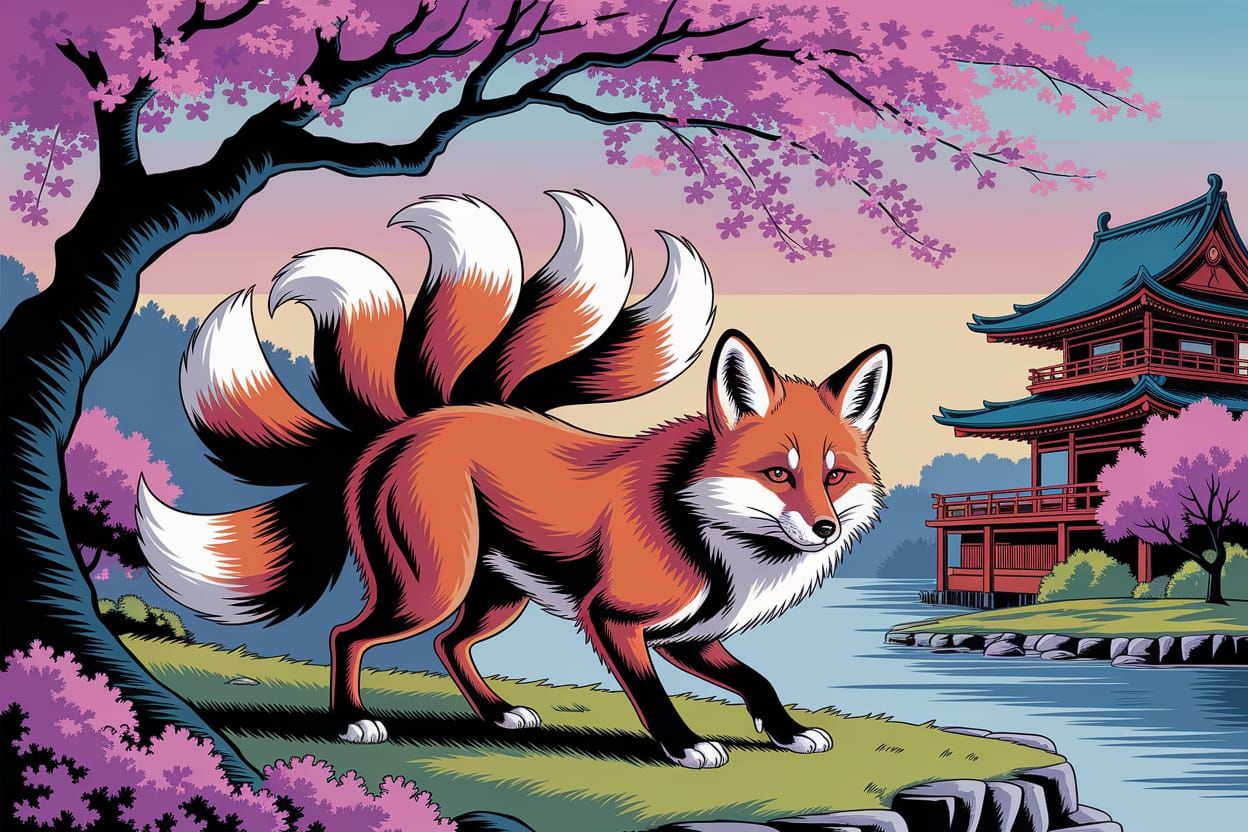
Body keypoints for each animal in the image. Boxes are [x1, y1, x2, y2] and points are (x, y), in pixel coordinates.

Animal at [136, 191, 891, 769]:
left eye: (835, 476)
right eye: (778, 473)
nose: (824, 527)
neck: (705, 527)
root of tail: (411, 424)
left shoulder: (693, 633)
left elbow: (757, 680)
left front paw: (787, 731)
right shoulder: (614, 619)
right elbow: (652, 697)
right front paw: (684, 747)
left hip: (496, 594)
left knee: (448, 644)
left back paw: (497, 714)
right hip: (431, 585)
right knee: (348, 636)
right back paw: (352, 720)